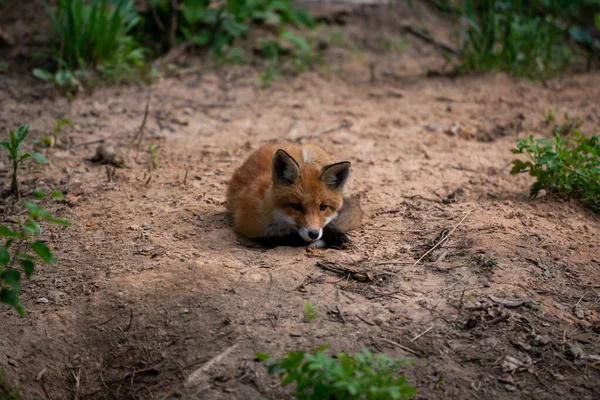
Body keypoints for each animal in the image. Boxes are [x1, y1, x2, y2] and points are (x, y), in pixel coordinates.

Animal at [226, 141, 360, 247]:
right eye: (296, 206)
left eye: (323, 207)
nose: (314, 234)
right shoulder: (248, 226)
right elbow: (283, 240)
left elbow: (327, 224)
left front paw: (338, 236)